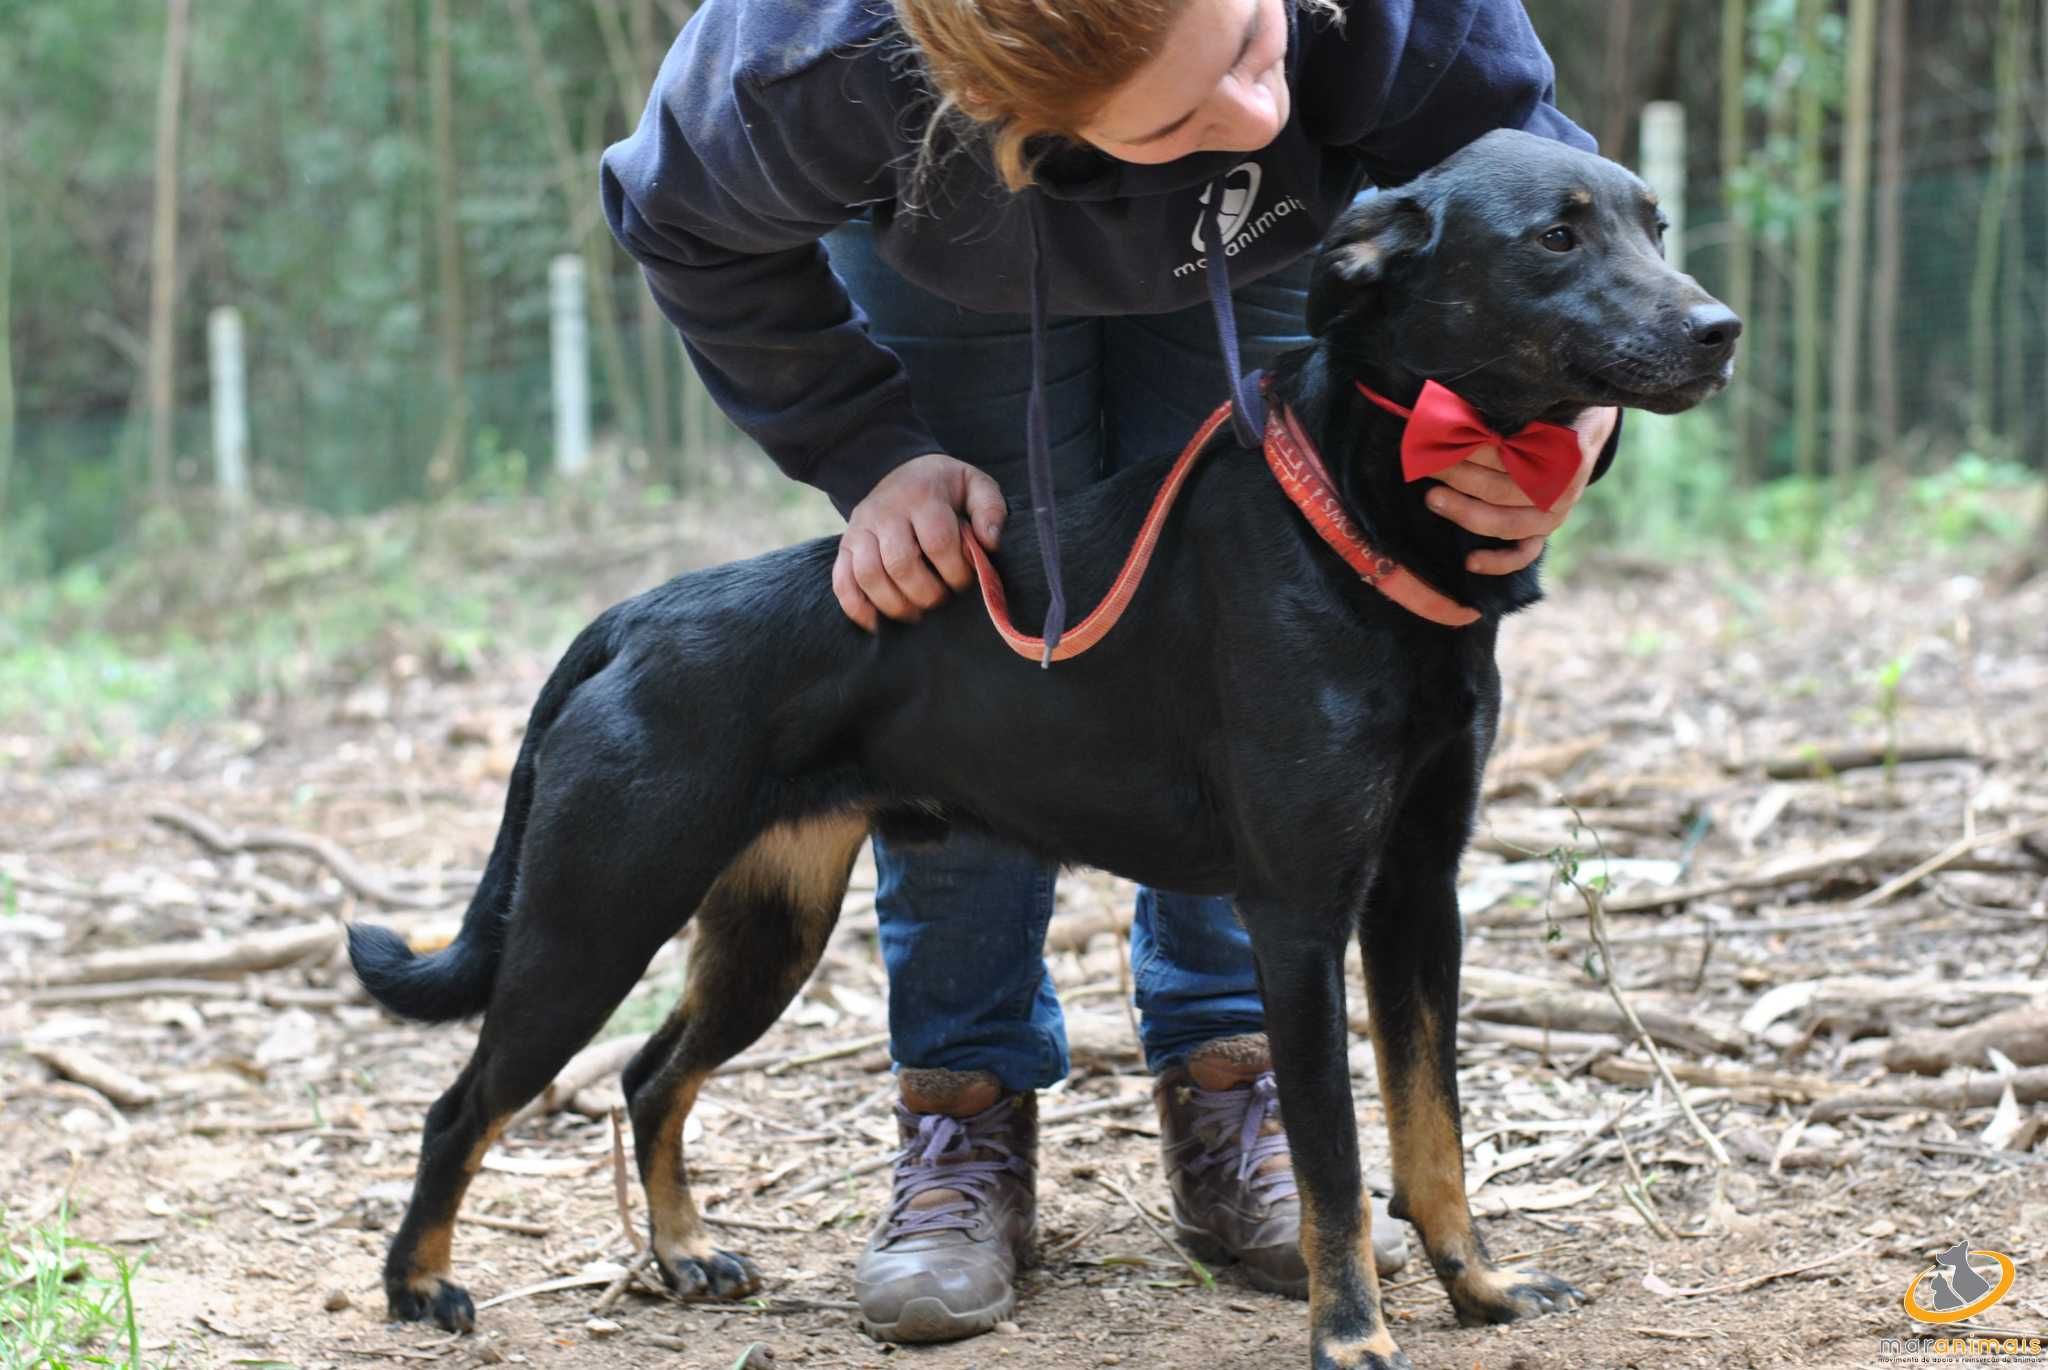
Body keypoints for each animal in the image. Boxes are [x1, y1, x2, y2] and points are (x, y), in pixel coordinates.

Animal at [356, 131, 1744, 1367]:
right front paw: (1351, 1336)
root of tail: (627, 621)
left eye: (1654, 224)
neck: (1356, 502)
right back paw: (419, 1285)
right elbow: (1339, 1164)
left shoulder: (1416, 894)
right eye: (1553, 237)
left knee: (650, 1075)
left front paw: (1479, 1289)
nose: (1719, 328)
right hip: (591, 921)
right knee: (460, 1103)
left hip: (766, 931)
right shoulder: (1300, 912)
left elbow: (1430, 1130)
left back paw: (686, 1250)